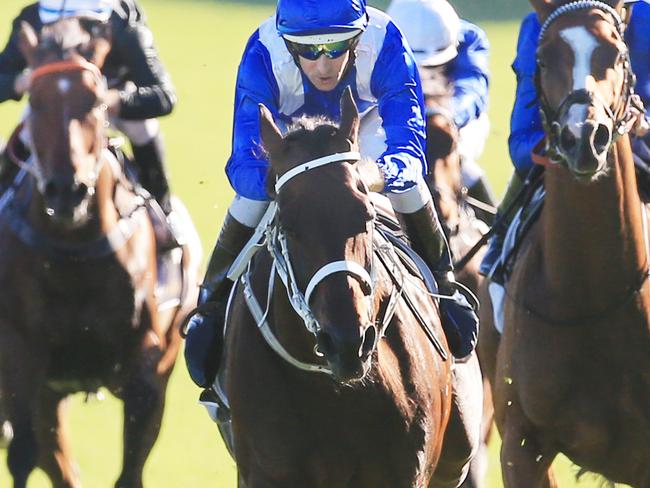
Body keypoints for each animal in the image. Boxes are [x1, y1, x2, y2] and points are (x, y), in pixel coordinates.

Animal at [0, 18, 200, 484]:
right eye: (35, 100)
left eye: (92, 101)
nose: (65, 190)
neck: (72, 253)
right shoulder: (20, 358)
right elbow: (22, 454)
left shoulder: (148, 372)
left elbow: (131, 470)